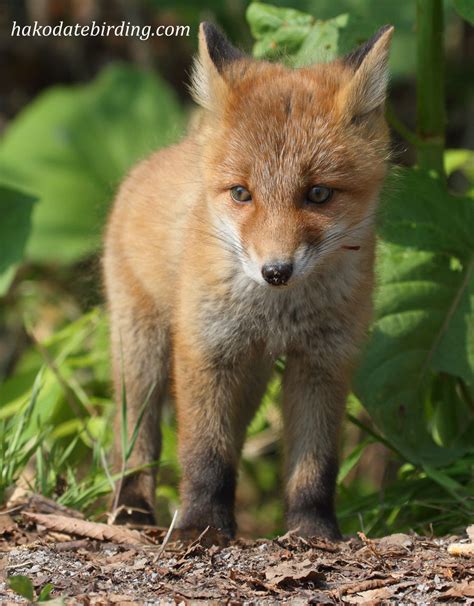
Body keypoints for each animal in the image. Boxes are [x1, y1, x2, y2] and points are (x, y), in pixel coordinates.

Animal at [103, 21, 392, 540]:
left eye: (319, 194)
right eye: (241, 193)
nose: (275, 271)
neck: (278, 313)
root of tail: (154, 160)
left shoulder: (324, 360)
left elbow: (314, 465)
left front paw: (312, 531)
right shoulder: (206, 350)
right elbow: (204, 454)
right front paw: (202, 525)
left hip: (252, 379)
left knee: (235, 439)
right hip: (143, 355)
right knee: (136, 436)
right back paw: (131, 508)